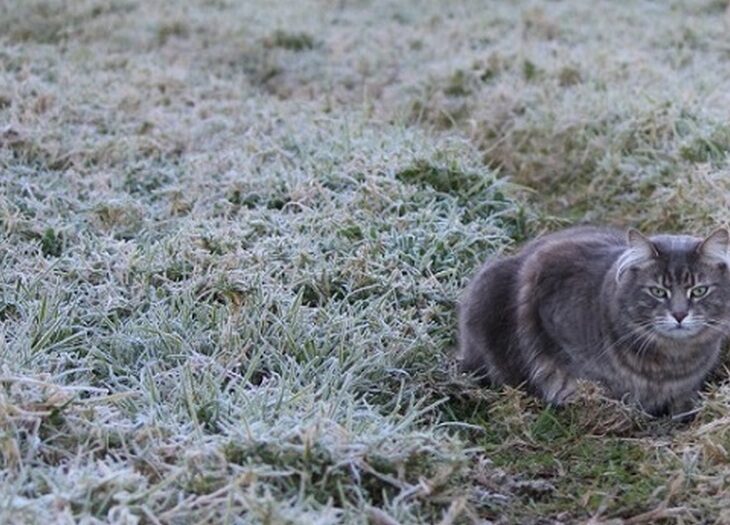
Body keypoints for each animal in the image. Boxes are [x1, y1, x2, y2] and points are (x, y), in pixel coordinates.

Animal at [458, 226, 730, 416]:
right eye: (658, 292)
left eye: (699, 291)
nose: (680, 315)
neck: (671, 360)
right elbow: (568, 373)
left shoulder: (687, 387)